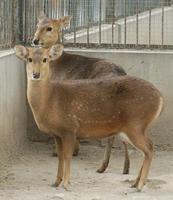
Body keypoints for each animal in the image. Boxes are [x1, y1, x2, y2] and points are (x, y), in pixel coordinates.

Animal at [14, 43, 164, 191]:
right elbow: (60, 156)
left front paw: (67, 184)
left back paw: (139, 185)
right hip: (130, 128)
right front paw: (56, 182)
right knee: (145, 150)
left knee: (149, 148)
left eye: (45, 59)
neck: (51, 100)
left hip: (136, 123)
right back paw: (134, 182)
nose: (36, 74)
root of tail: (160, 98)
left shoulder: (70, 128)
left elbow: (67, 156)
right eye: (29, 59)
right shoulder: (57, 133)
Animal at [32, 14, 130, 174]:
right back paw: (125, 167)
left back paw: (103, 166)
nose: (35, 40)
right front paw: (75, 150)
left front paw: (59, 151)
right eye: (37, 25)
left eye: (49, 28)